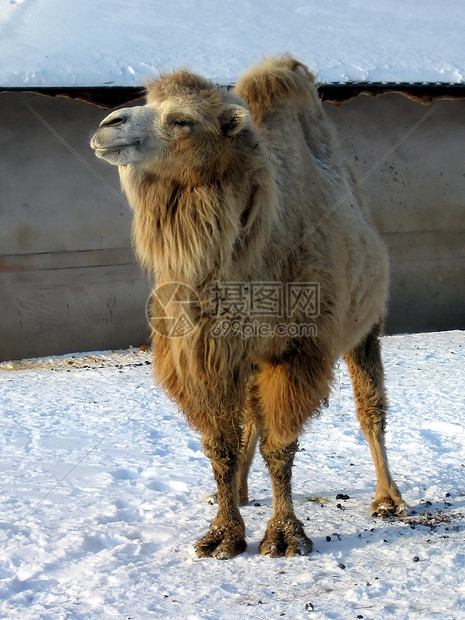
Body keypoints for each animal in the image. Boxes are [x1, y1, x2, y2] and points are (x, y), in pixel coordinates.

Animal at [91, 54, 406, 556]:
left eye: (182, 120)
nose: (108, 125)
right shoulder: (209, 352)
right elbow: (222, 444)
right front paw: (222, 534)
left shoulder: (296, 349)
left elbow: (281, 445)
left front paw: (284, 536)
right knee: (251, 424)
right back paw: (239, 492)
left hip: (366, 324)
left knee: (370, 409)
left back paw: (388, 499)